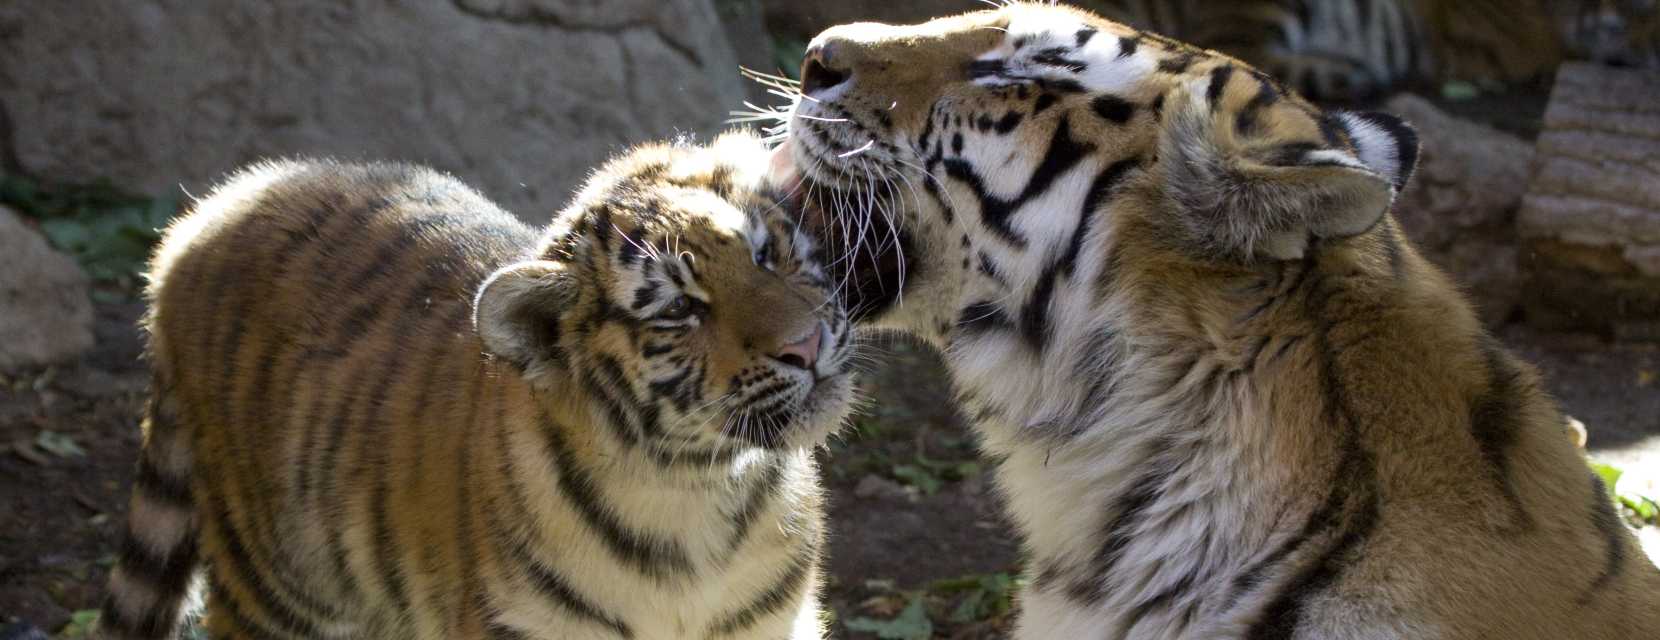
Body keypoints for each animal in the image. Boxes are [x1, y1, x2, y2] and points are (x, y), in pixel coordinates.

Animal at [98, 131, 855, 640]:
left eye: (764, 252)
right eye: (678, 310)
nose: (806, 345)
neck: (698, 499)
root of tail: (205, 214)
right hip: (270, 591)